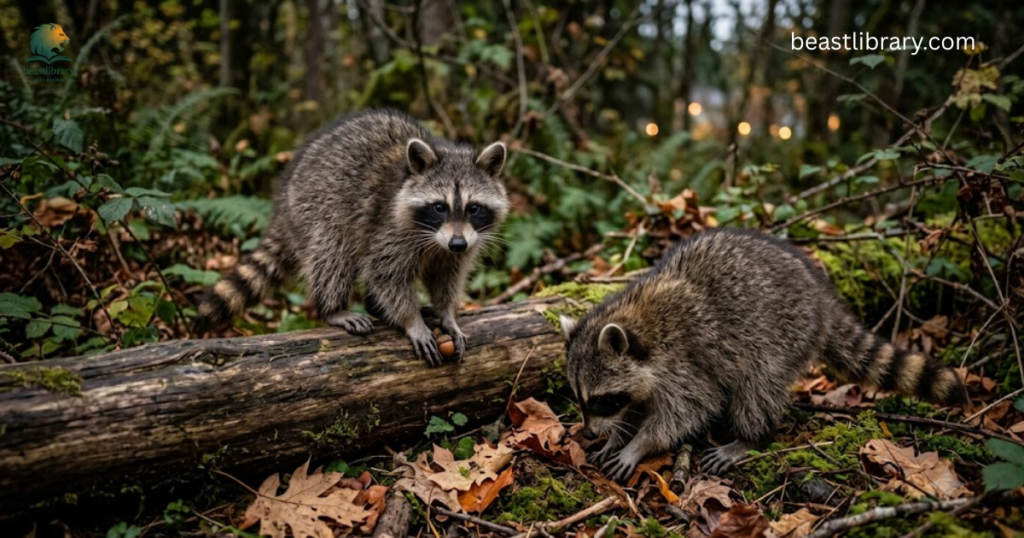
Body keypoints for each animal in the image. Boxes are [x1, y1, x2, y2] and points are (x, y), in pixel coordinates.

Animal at [193, 109, 509, 366]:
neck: (435, 239)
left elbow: (448, 276)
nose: (457, 244)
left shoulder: (462, 244)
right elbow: (386, 274)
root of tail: (284, 200)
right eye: (439, 207)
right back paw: (333, 308)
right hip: (317, 209)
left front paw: (447, 315)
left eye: (473, 208)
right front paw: (411, 320)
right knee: (333, 255)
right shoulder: (390, 227)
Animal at [559, 228, 967, 481]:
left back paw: (749, 437)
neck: (636, 320)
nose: (587, 431)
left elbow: (690, 408)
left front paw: (639, 444)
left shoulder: (682, 362)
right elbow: (641, 405)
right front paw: (617, 435)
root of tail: (820, 297)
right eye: (580, 399)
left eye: (602, 401)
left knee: (757, 388)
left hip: (783, 335)